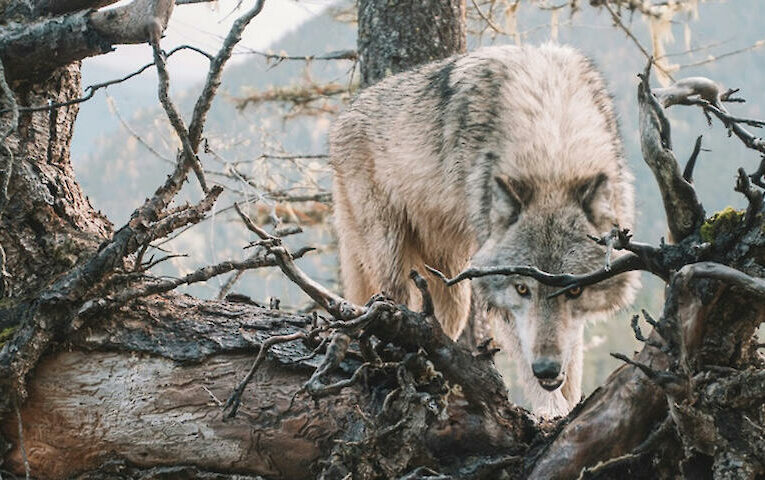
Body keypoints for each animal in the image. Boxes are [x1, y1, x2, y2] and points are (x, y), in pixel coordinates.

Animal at [328, 44, 640, 416]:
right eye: (521, 288)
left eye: (574, 290)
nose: (547, 369)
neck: (553, 147)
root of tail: (344, 116)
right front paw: (551, 412)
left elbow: (574, 356)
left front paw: (571, 404)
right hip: (393, 264)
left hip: (453, 291)